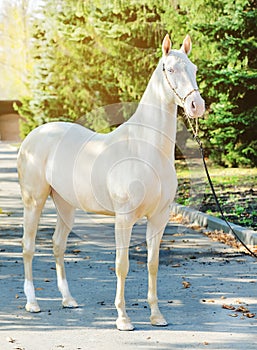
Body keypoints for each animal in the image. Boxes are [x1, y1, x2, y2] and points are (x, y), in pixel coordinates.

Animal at [17, 34, 204, 330]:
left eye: (194, 69)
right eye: (171, 69)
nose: (197, 105)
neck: (145, 148)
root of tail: (34, 135)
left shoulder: (159, 217)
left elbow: (152, 263)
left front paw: (157, 316)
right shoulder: (124, 217)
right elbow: (122, 265)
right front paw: (123, 318)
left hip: (66, 205)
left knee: (58, 245)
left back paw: (68, 300)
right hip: (33, 201)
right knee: (28, 247)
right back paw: (32, 303)